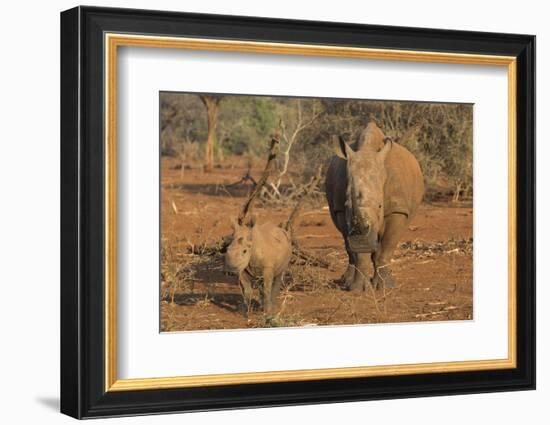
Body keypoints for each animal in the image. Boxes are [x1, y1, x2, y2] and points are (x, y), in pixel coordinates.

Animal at [328, 121, 426, 290]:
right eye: (347, 205)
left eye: (380, 206)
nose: (361, 240)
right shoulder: (340, 209)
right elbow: (358, 252)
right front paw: (358, 289)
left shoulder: (397, 209)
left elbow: (386, 248)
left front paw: (386, 287)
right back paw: (346, 281)